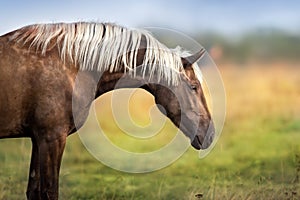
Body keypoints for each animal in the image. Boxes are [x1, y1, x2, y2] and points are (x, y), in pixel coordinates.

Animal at [0, 22, 216, 199]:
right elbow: (49, 192)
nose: (211, 135)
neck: (71, 66)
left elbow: (34, 191)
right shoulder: (51, 137)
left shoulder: (38, 139)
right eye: (194, 86)